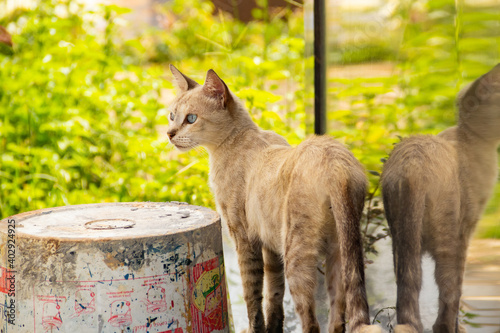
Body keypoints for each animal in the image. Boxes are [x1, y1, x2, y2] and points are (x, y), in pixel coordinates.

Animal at [166, 65, 380, 332]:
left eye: (191, 119)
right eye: (172, 116)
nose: (169, 134)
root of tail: (337, 164)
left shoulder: (243, 238)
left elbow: (252, 299)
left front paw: (254, 329)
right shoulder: (270, 246)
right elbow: (273, 299)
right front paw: (272, 328)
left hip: (296, 256)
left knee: (312, 323)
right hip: (338, 258)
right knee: (337, 320)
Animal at [378, 63, 500, 330]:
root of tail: (413, 166)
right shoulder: (466, 230)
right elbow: (457, 289)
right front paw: (457, 325)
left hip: (400, 241)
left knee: (408, 284)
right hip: (449, 238)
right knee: (447, 287)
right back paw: (446, 328)